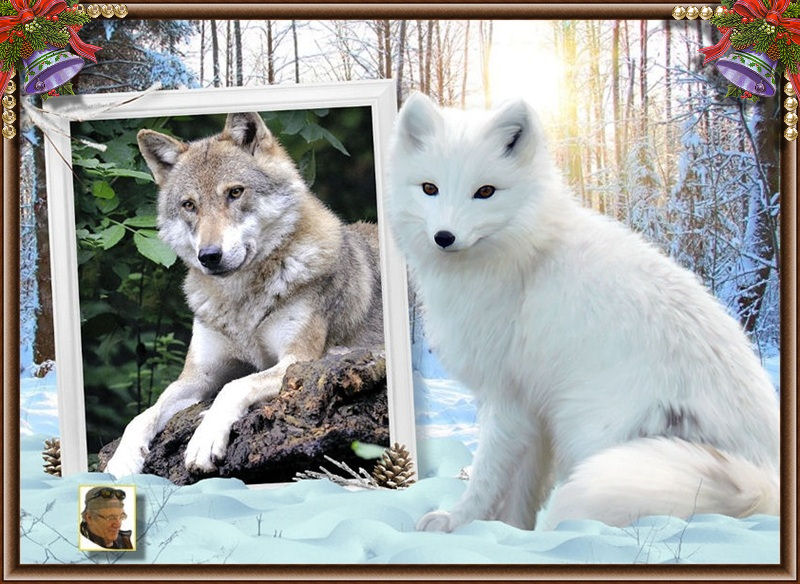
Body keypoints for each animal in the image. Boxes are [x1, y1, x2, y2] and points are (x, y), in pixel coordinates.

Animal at [104, 112, 384, 477]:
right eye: (189, 205)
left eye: (235, 192)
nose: (209, 256)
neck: (241, 303)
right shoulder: (198, 375)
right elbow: (143, 414)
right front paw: (122, 460)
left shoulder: (298, 360)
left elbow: (235, 385)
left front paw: (204, 440)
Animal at [386, 93, 780, 530]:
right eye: (430, 188)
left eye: (485, 191)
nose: (444, 237)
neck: (528, 254)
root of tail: (765, 477)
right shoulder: (535, 414)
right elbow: (521, 493)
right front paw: (512, 531)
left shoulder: (508, 397)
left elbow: (488, 474)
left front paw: (457, 522)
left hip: (594, 435)